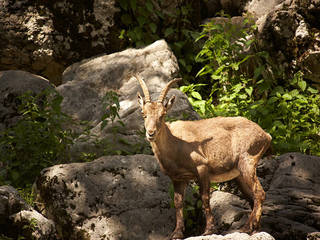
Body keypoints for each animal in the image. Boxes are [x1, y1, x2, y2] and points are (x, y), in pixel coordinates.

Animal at [136, 75, 272, 238]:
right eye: (143, 114)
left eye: (162, 115)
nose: (151, 133)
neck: (176, 142)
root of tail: (265, 135)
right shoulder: (178, 178)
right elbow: (178, 202)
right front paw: (177, 233)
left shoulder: (202, 168)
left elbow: (205, 198)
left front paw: (209, 230)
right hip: (239, 174)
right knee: (252, 197)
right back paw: (255, 229)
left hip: (247, 161)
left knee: (259, 193)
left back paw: (245, 228)